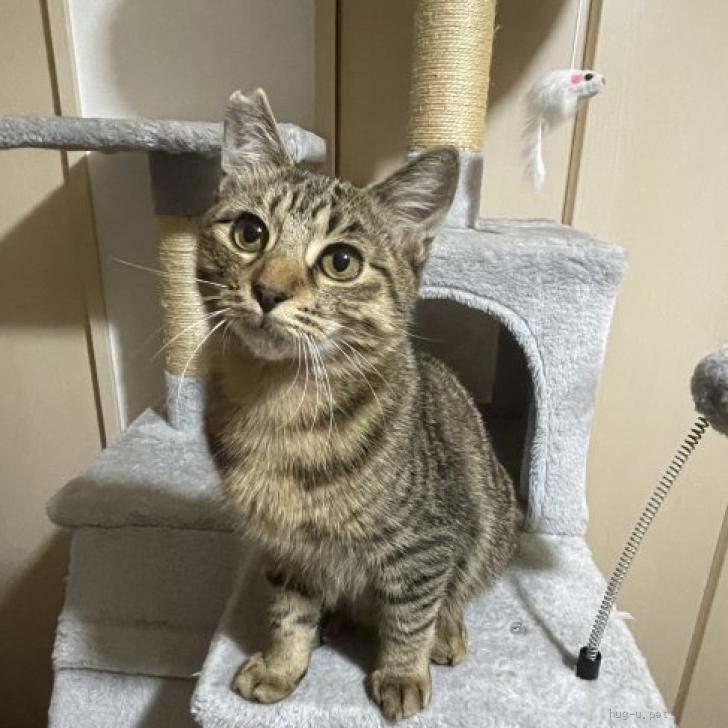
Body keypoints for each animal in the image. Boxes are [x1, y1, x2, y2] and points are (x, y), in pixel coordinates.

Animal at [198, 89, 519, 721]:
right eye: (249, 232)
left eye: (340, 262)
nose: (268, 291)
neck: (277, 401)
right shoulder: (288, 548)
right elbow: (289, 613)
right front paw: (282, 664)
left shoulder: (426, 543)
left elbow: (411, 614)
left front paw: (401, 673)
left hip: (493, 523)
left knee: (454, 595)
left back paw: (445, 633)